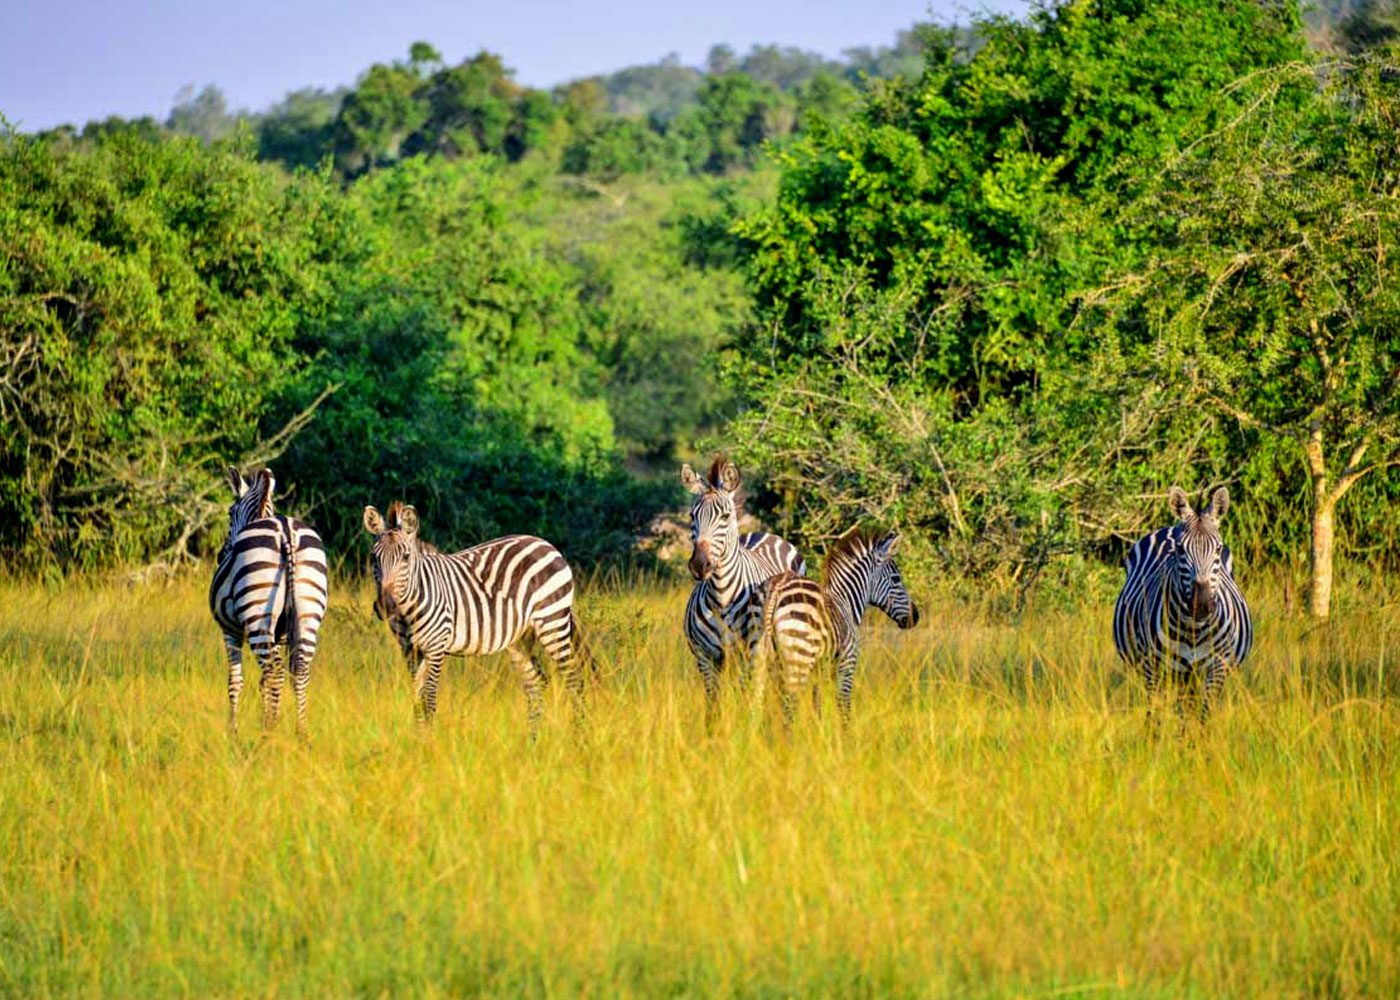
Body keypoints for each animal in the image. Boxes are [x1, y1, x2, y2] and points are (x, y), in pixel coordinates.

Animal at [208, 464, 329, 733]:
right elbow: (265, 681)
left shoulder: (229, 631)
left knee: (275, 672)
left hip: (257, 616)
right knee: (299, 671)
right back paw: (300, 732)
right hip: (307, 614)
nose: (221, 554)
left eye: (230, 514)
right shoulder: (280, 637)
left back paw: (269, 733)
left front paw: (233, 730)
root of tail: (286, 532)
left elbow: (235, 681)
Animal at [364, 501, 582, 728]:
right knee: (536, 684)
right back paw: (532, 737)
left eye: (406, 557)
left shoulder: (435, 647)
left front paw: (430, 738)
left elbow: (429, 701)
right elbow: (417, 702)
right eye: (373, 557)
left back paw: (579, 733)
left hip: (552, 623)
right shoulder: (410, 651)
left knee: (573, 678)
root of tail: (545, 544)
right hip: (520, 639)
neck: (407, 611)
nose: (385, 606)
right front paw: (419, 736)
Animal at [683, 456, 806, 722]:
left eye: (725, 516)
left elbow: (749, 703)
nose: (699, 565)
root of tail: (766, 533)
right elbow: (713, 708)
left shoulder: (751, 654)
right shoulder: (706, 658)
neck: (721, 596)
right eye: (691, 516)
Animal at [756, 521, 918, 722]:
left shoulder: (819, 672)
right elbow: (844, 710)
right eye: (896, 579)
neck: (846, 602)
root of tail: (776, 590)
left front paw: (818, 730)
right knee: (788, 709)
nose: (915, 616)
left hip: (758, 655)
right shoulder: (847, 664)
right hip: (798, 659)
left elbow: (817, 707)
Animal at [1114, 484, 1260, 722]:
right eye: (1181, 550)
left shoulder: (1217, 668)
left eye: (1218, 549)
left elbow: (1202, 717)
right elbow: (1153, 716)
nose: (1201, 606)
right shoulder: (1154, 668)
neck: (1194, 629)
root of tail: (1170, 527)